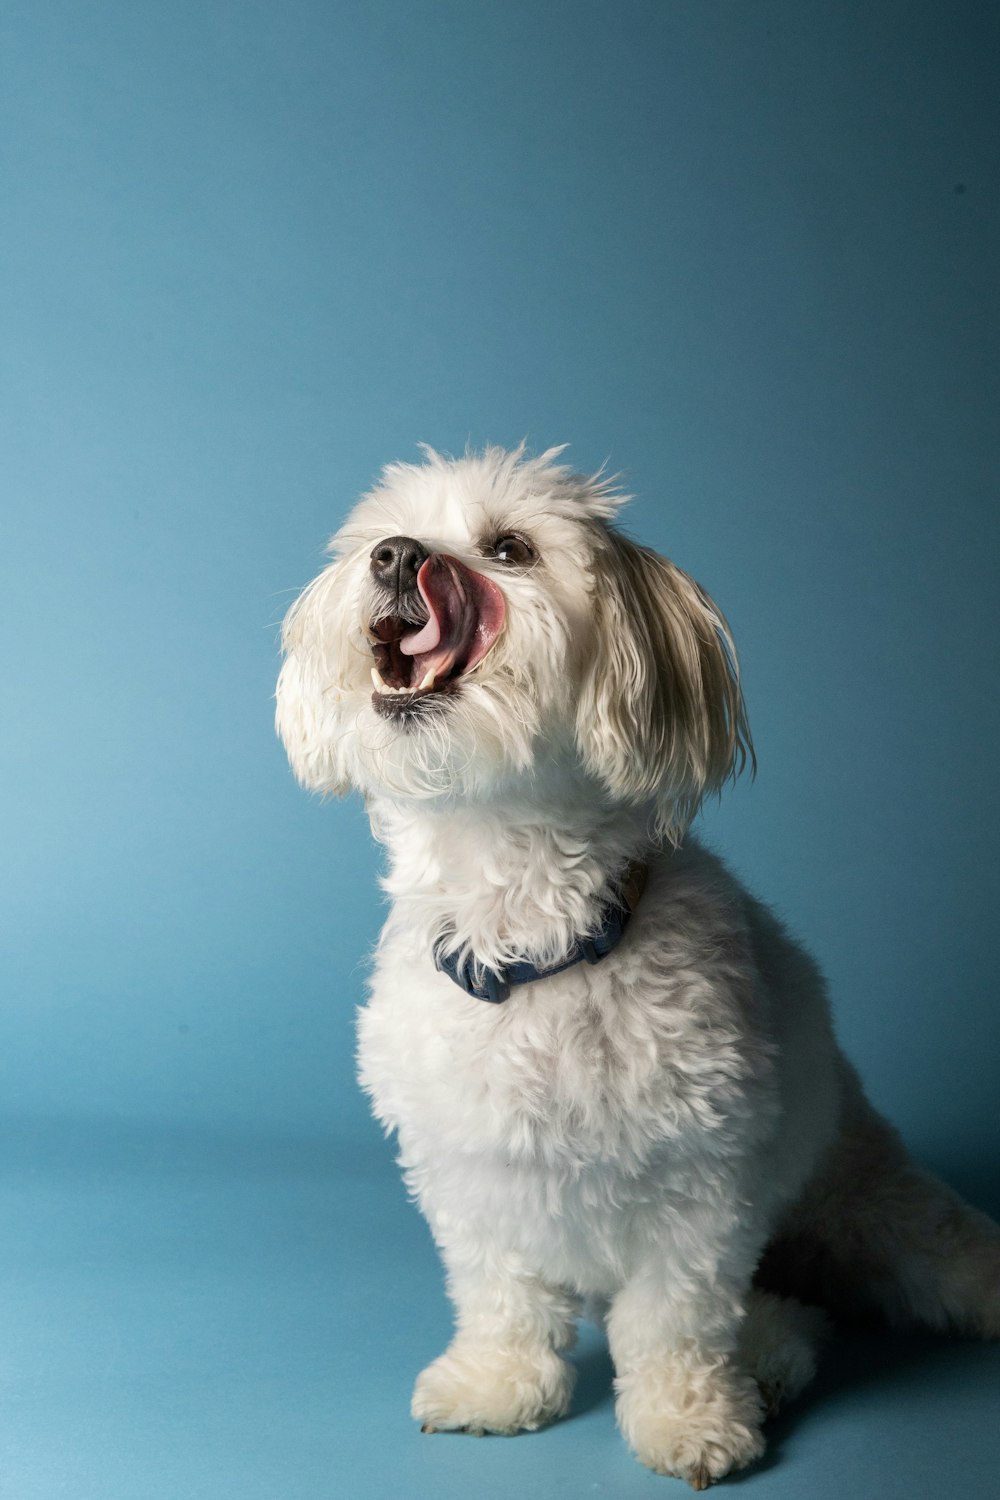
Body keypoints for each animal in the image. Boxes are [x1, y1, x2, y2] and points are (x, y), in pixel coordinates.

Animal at [274, 444, 1000, 1488]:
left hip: (872, 1201)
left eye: (511, 548)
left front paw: (687, 1418)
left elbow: (674, 1320)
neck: (531, 938)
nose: (399, 556)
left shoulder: (697, 1186)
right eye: (380, 537)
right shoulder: (470, 1169)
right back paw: (774, 1350)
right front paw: (498, 1382)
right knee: (791, 1312)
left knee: (914, 1257)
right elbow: (498, 1290)